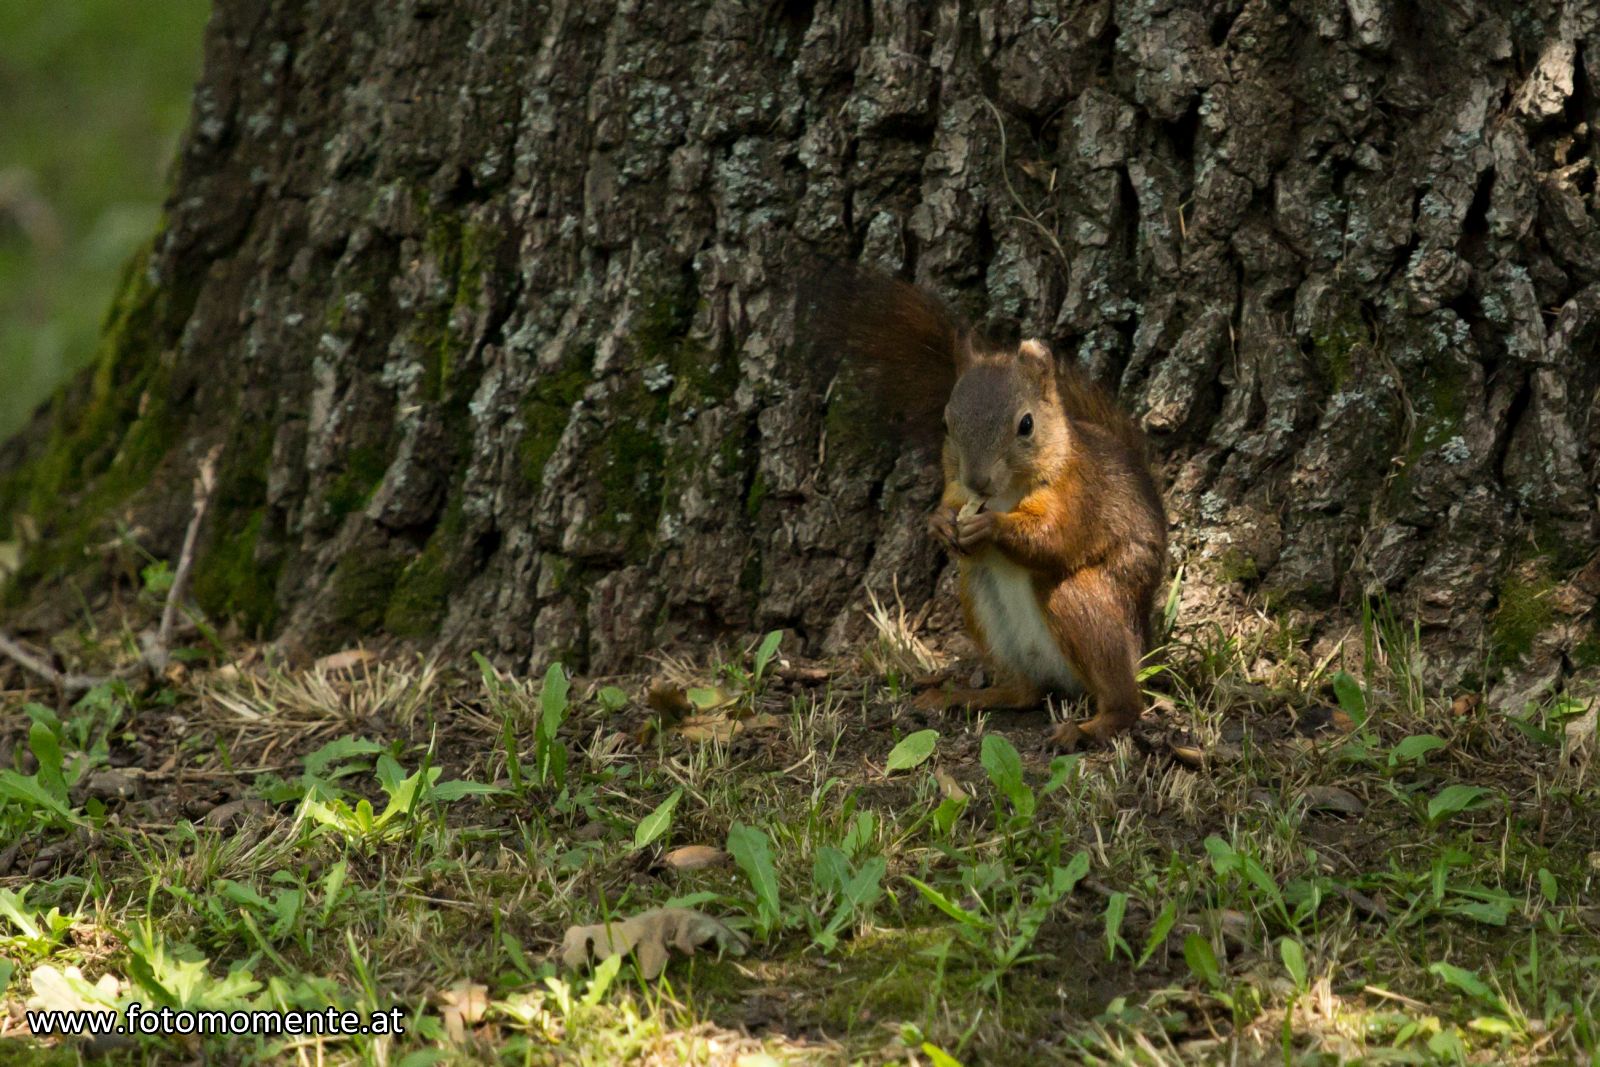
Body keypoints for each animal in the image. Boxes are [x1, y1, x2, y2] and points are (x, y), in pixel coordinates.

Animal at [812, 267, 1164, 751]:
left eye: (1026, 425)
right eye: (946, 423)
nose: (977, 481)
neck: (1005, 493)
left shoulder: (1078, 493)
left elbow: (1055, 538)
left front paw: (991, 528)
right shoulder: (955, 485)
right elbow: (950, 509)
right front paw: (940, 524)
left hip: (1091, 606)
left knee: (1124, 699)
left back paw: (1090, 727)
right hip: (979, 598)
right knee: (1023, 692)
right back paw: (965, 697)